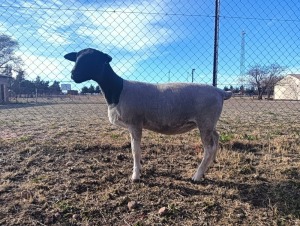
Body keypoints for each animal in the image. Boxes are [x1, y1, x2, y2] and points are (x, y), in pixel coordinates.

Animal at [63, 48, 232, 182]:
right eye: (76, 57)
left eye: (93, 59)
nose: (73, 75)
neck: (118, 90)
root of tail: (221, 92)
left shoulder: (135, 123)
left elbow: (135, 151)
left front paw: (135, 176)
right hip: (209, 122)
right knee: (216, 137)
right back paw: (212, 162)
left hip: (205, 121)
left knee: (208, 147)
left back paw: (197, 175)